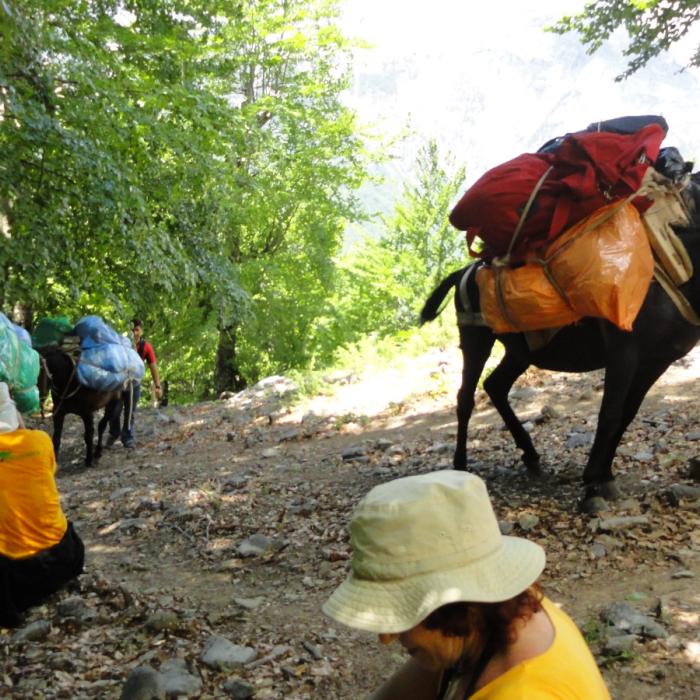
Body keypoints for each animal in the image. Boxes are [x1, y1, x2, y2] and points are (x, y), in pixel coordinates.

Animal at [420, 223, 700, 513]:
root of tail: (465, 270)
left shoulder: (655, 363)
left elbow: (626, 415)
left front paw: (606, 476)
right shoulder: (623, 355)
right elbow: (610, 416)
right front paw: (592, 485)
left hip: (521, 352)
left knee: (495, 386)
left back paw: (530, 453)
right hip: (476, 340)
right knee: (466, 398)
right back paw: (460, 464)